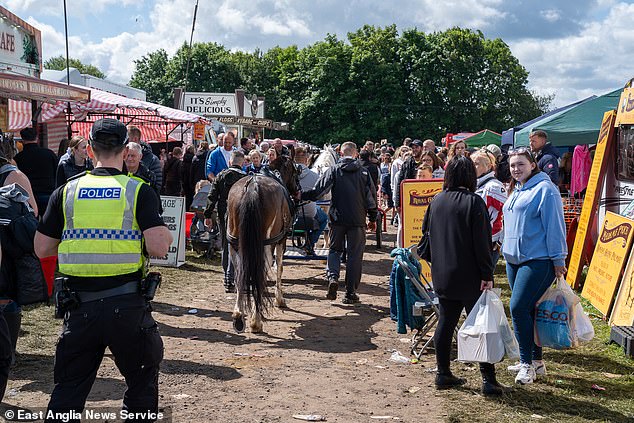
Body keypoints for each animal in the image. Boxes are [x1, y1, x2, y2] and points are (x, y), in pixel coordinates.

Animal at [225, 154, 298, 332]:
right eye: (296, 171)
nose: (298, 191)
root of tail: (252, 187)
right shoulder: (280, 241)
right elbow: (279, 267)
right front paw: (280, 299)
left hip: (234, 243)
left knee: (240, 273)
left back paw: (238, 315)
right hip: (264, 243)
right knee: (260, 272)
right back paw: (256, 320)